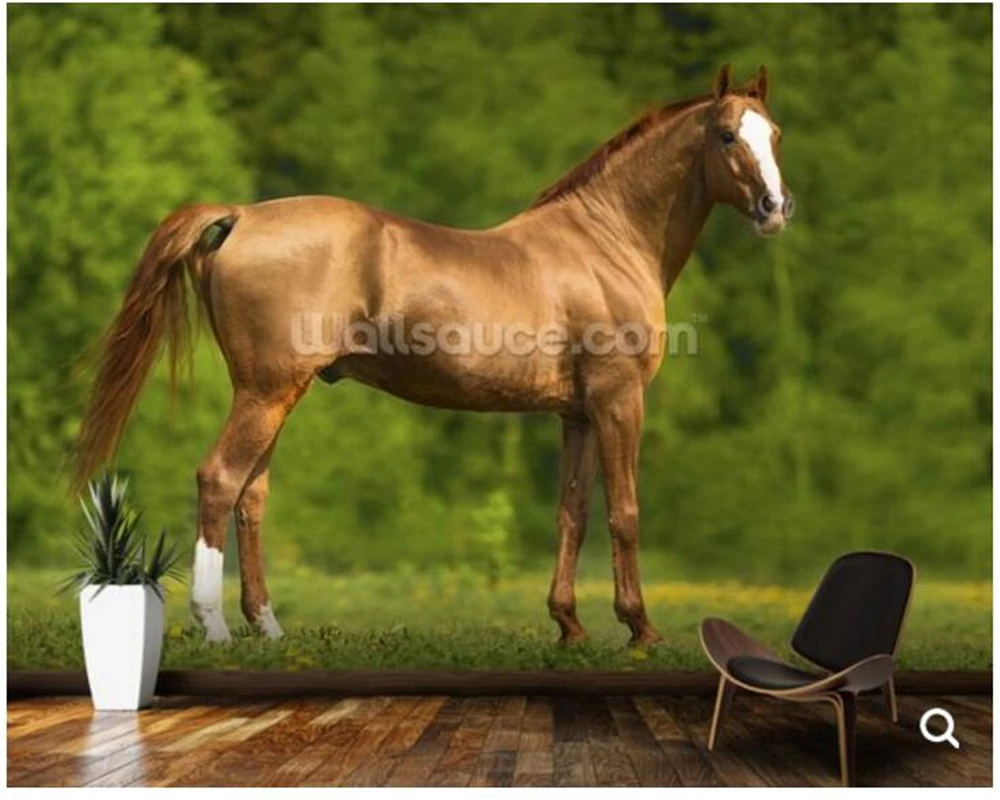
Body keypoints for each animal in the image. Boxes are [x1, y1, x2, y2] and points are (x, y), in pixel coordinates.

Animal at [74, 64, 793, 646]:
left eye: (775, 134)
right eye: (726, 136)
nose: (774, 207)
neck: (604, 243)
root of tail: (244, 215)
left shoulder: (578, 414)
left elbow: (573, 513)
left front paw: (569, 625)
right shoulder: (620, 402)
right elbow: (625, 513)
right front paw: (640, 629)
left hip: (272, 394)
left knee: (252, 496)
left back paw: (267, 625)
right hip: (266, 391)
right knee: (220, 480)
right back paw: (215, 624)